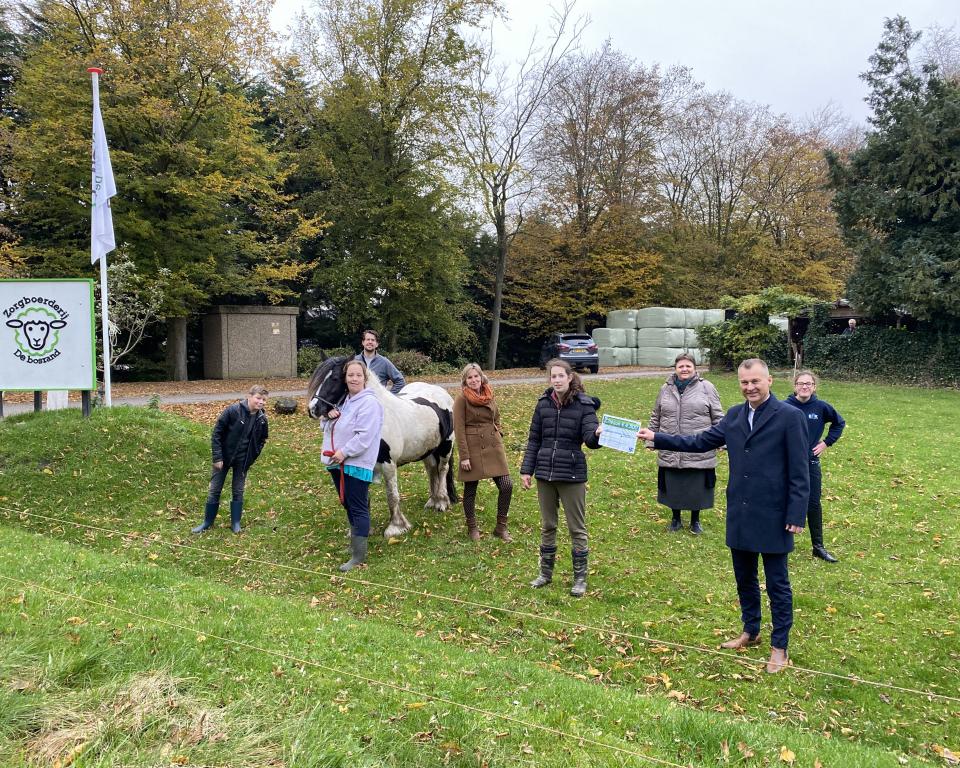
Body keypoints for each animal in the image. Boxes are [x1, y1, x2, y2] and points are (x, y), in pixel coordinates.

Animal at [308, 356, 458, 536]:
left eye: (335, 378)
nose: (313, 409)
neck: (379, 416)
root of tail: (441, 393)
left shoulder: (389, 465)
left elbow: (392, 496)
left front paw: (396, 526)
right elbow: (362, 498)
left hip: (446, 445)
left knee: (442, 470)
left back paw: (441, 502)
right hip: (427, 450)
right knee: (431, 470)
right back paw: (432, 501)